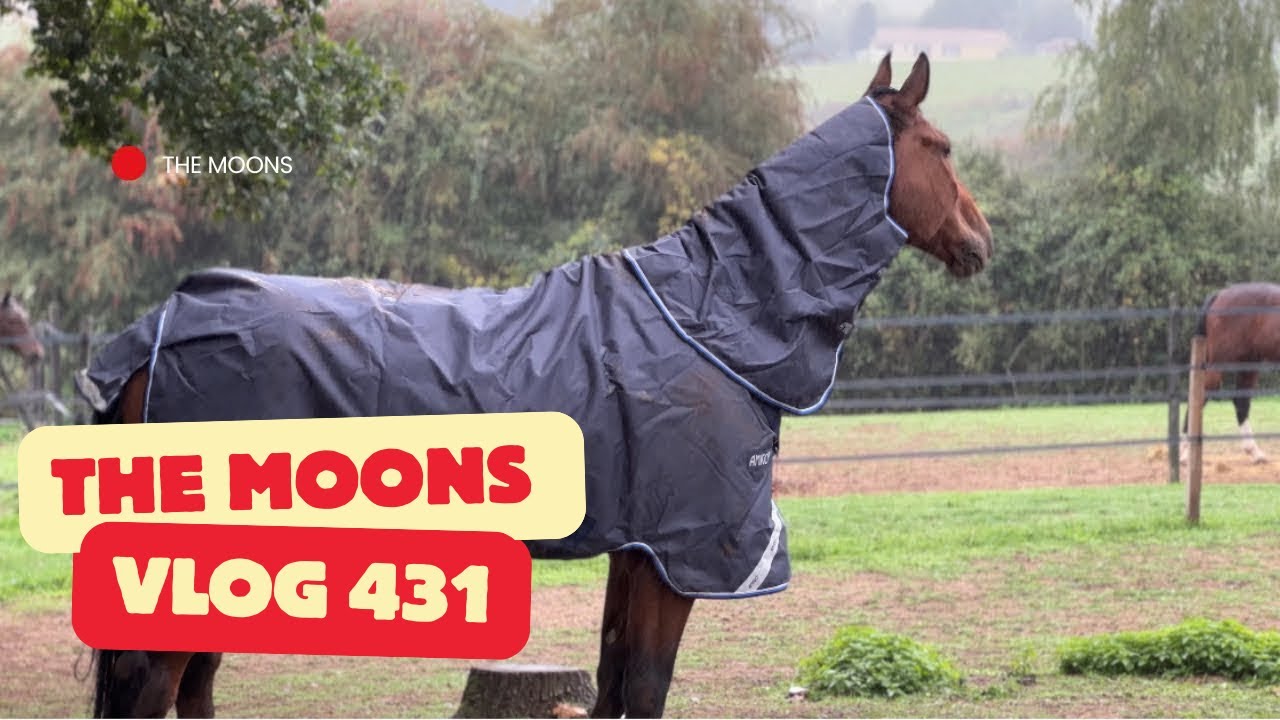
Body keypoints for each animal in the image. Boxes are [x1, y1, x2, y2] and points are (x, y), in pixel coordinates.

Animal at [74, 52, 992, 719]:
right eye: (942, 149)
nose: (982, 240)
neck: (709, 315)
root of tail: (157, 330)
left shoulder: (638, 548)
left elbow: (617, 679)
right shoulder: (678, 558)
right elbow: (646, 686)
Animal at [1182, 282, 1280, 464]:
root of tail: (1220, 295)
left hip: (1248, 363)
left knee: (1241, 402)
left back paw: (1255, 452)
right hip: (1219, 364)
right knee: (1200, 396)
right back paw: (1185, 454)